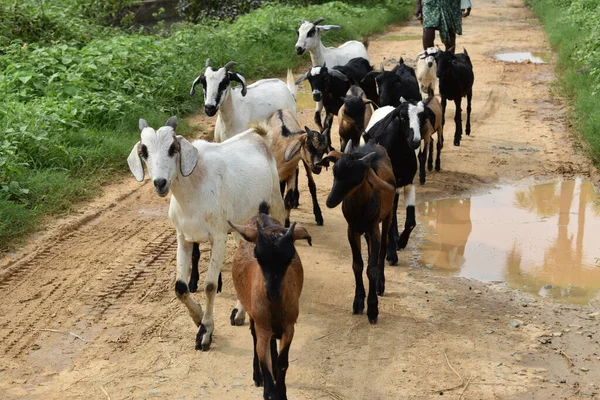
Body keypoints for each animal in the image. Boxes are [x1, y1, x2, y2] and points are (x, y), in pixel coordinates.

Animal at [127, 115, 286, 350]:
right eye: (144, 151)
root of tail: (258, 136)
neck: (193, 189)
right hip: (241, 224)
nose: (160, 183)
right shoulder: (183, 237)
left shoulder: (218, 237)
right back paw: (239, 312)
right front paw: (197, 316)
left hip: (275, 202)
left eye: (173, 148)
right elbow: (180, 287)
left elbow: (210, 285)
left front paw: (205, 332)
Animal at [229, 203, 312, 400]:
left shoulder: (289, 327)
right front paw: (268, 390)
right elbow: (263, 360)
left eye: (290, 257)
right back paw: (257, 375)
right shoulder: (262, 326)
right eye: (257, 256)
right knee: (254, 338)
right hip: (254, 315)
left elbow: (282, 363)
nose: (272, 292)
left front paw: (281, 392)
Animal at [322, 139, 396, 324]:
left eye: (355, 179)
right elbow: (357, 265)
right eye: (335, 172)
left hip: (388, 216)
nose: (330, 201)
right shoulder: (352, 230)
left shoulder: (374, 229)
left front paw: (373, 309)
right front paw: (358, 302)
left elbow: (372, 268)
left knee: (383, 249)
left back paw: (380, 284)